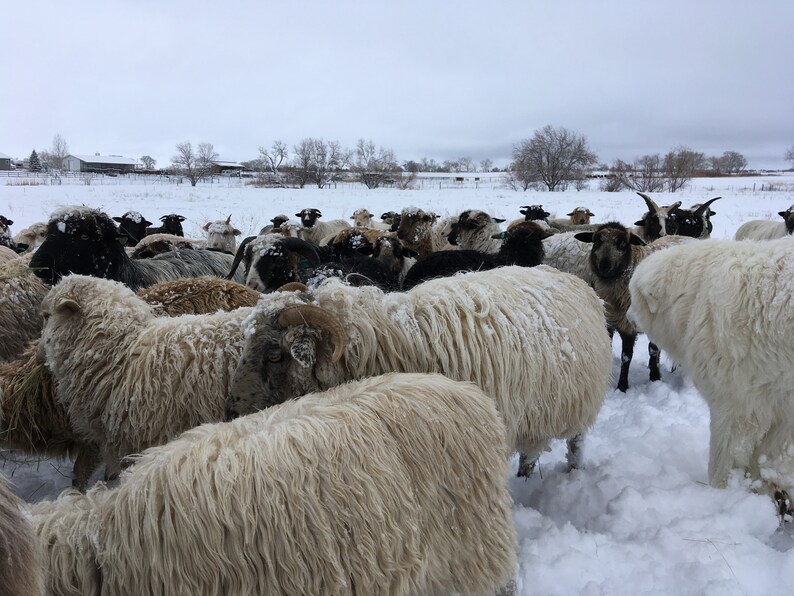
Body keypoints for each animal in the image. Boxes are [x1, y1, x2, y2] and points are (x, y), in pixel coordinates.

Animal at [228, 265, 613, 477]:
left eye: (275, 356)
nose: (231, 410)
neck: (389, 343)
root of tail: (571, 278)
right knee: (531, 453)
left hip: (578, 402)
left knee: (576, 443)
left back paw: (573, 471)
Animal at [574, 222, 693, 391]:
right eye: (597, 241)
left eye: (623, 244)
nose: (604, 266)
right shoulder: (611, 321)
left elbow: (636, 354)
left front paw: (644, 380)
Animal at [628, 237, 794, 514]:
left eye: (633, 297)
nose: (627, 316)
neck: (694, 295)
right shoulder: (781, 405)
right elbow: (769, 454)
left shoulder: (734, 404)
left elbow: (723, 457)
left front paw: (720, 493)